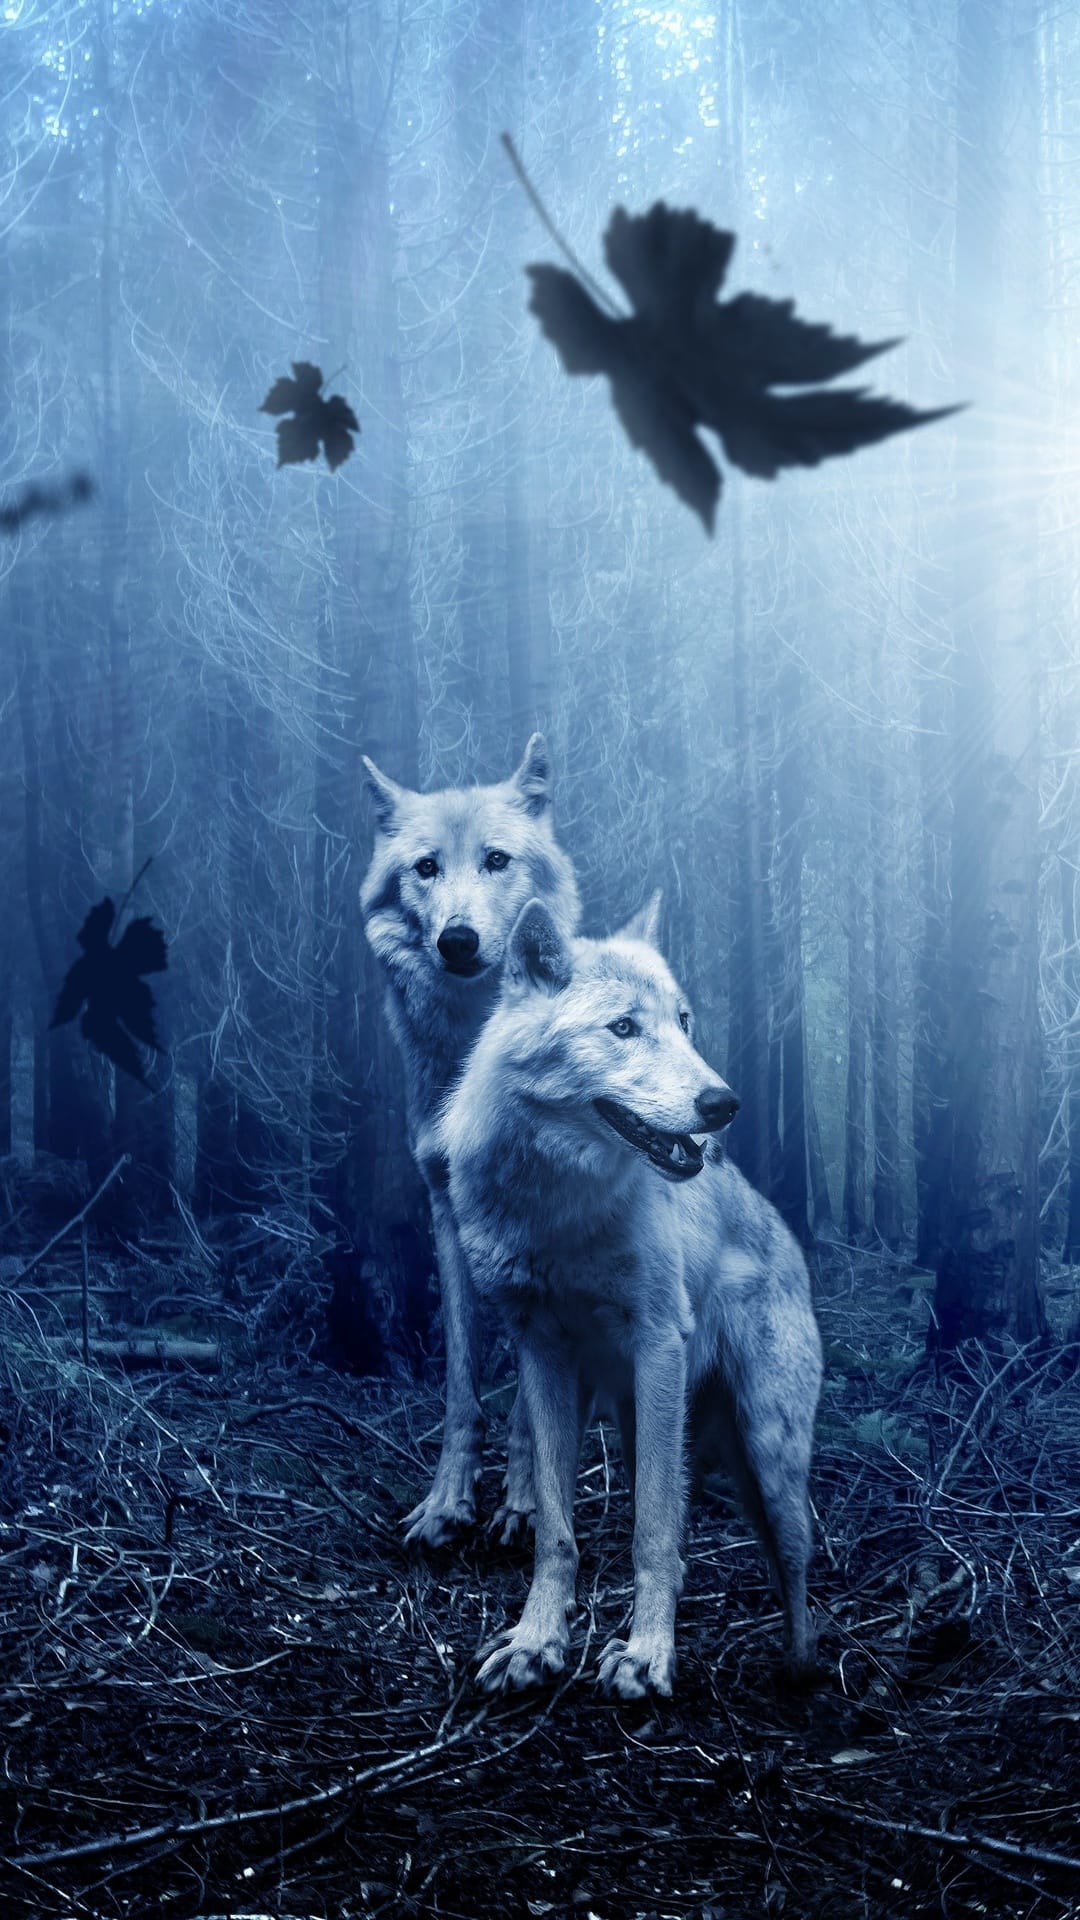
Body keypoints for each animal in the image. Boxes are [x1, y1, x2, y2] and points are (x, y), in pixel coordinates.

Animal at [361, 738, 581, 1546]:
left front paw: (524, 1505)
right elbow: (461, 1384)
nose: (457, 940)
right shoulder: (446, 1212)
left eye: (495, 859)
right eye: (426, 867)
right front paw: (446, 1503)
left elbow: (530, 1401)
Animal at [438, 895, 823, 1698]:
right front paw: (536, 1643)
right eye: (623, 1028)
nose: (724, 1103)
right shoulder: (542, 1351)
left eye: (684, 1021)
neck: (557, 1210)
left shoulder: (657, 1343)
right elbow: (556, 1529)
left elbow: (650, 1531)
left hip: (767, 1450)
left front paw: (647, 1657)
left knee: (794, 1563)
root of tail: (785, 1234)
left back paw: (799, 1670)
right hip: (640, 1420)